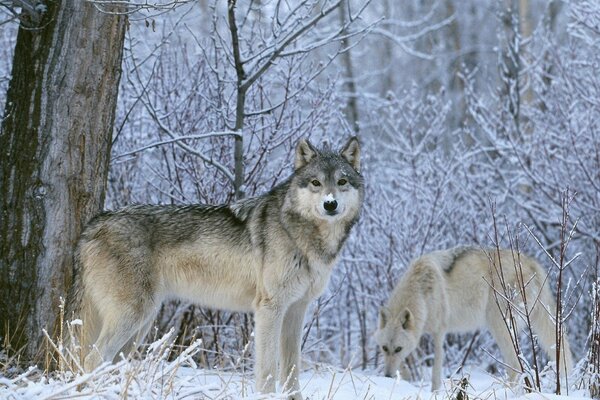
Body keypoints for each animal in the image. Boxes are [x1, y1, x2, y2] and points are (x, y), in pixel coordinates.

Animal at [68, 137, 364, 396]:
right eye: (316, 182)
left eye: (341, 181)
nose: (330, 204)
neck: (304, 236)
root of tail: (93, 224)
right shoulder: (269, 309)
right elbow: (268, 370)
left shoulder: (296, 310)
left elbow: (291, 371)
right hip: (133, 316)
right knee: (92, 359)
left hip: (140, 325)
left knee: (108, 363)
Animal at [372, 247, 576, 390]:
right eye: (384, 348)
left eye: (398, 348)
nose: (387, 376)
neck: (421, 291)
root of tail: (531, 262)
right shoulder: (418, 335)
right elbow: (407, 364)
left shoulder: (439, 333)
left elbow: (436, 371)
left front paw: (434, 392)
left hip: (499, 326)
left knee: (514, 365)